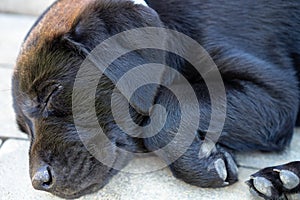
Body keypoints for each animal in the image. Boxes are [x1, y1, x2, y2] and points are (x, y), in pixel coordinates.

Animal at [11, 0, 300, 198]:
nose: (39, 182)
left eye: (50, 94)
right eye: (23, 129)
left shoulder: (276, 96)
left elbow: (164, 111)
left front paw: (206, 162)